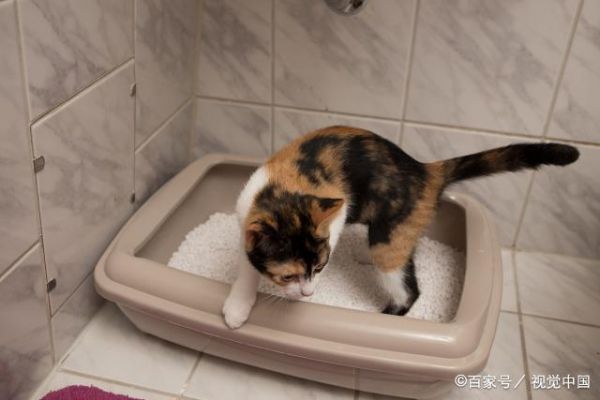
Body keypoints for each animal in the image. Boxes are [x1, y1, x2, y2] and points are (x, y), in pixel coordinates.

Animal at [222, 126, 579, 329]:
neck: (284, 191)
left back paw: (383, 316)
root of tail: (423, 170)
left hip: (389, 240)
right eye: (288, 276)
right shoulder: (246, 220)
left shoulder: (338, 210)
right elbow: (248, 264)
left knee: (409, 290)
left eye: (319, 267)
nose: (308, 292)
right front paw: (239, 304)